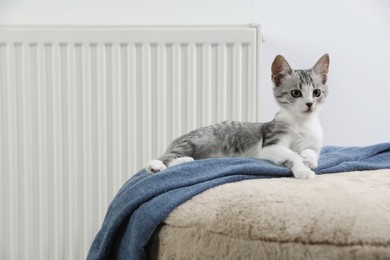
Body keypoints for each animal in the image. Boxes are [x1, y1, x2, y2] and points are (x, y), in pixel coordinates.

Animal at [146, 52, 330, 179]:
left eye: (316, 92)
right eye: (296, 93)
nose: (310, 104)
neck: (302, 123)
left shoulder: (315, 142)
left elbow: (311, 151)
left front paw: (309, 159)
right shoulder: (271, 145)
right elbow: (292, 154)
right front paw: (303, 169)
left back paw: (183, 161)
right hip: (196, 141)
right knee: (165, 156)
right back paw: (156, 165)